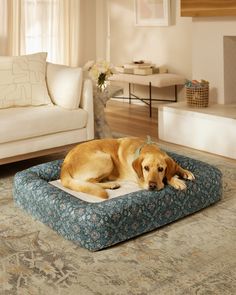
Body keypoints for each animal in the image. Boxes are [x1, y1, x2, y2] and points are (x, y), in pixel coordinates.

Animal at [60, 138, 194, 199]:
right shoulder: (141, 181)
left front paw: (185, 172)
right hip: (106, 159)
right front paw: (177, 181)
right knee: (89, 182)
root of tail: (65, 164)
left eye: (161, 169)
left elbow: (175, 166)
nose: (152, 185)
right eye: (145, 168)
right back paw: (111, 184)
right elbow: (168, 178)